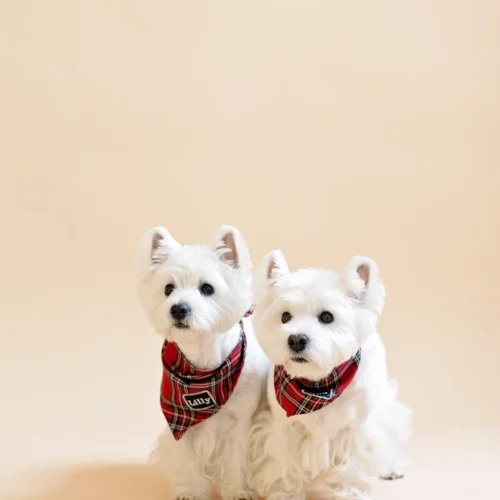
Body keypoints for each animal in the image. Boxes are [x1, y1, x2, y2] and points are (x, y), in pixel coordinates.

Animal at [137, 226, 268, 500]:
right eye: (168, 289)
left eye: (207, 288)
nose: (179, 309)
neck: (203, 372)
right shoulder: (180, 422)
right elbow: (187, 460)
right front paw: (190, 491)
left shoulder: (242, 422)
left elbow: (236, 460)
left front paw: (237, 491)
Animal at [249, 252, 410, 500]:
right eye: (285, 316)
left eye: (327, 317)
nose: (296, 339)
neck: (318, 386)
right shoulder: (282, 428)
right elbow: (283, 462)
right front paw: (286, 493)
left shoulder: (352, 429)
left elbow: (350, 463)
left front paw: (350, 492)